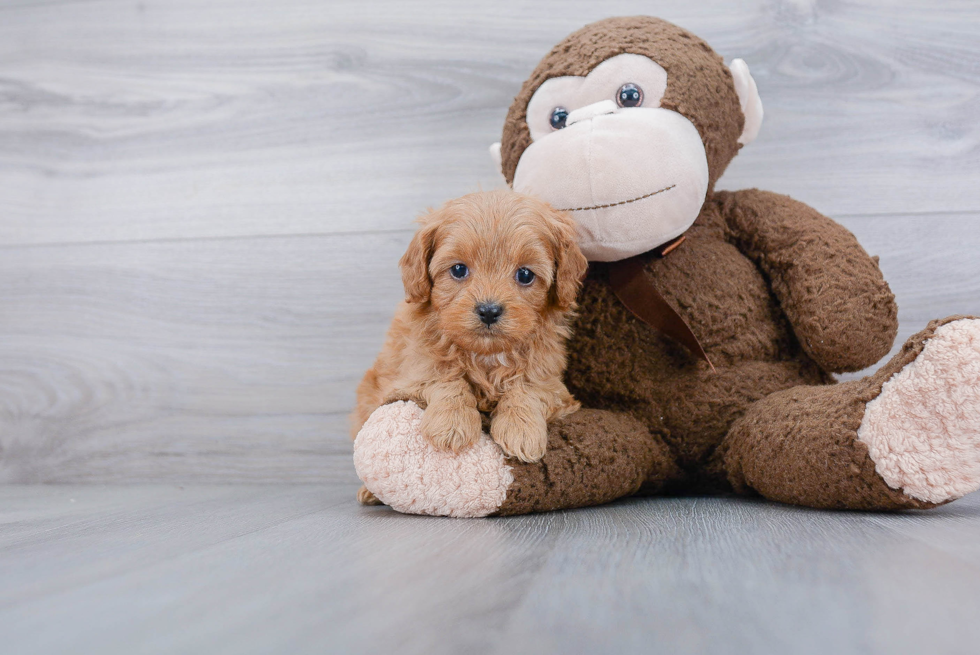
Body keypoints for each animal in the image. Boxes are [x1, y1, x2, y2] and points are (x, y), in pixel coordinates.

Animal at [352, 187, 584, 490]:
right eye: (459, 270)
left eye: (525, 274)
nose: (488, 310)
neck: (486, 355)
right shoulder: (409, 377)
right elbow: (445, 377)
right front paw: (452, 424)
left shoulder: (552, 383)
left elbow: (528, 386)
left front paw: (521, 429)